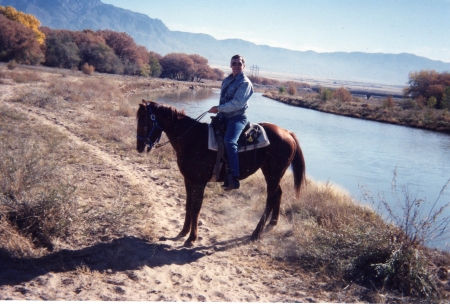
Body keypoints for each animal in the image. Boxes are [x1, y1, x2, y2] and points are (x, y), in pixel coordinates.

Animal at [137, 100, 306, 247]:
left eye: (145, 121)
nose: (139, 147)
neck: (193, 139)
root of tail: (287, 133)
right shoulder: (188, 180)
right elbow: (188, 205)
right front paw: (183, 232)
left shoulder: (199, 183)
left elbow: (195, 208)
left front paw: (192, 238)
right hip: (271, 173)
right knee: (278, 193)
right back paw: (273, 223)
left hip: (273, 174)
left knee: (270, 198)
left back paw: (256, 234)